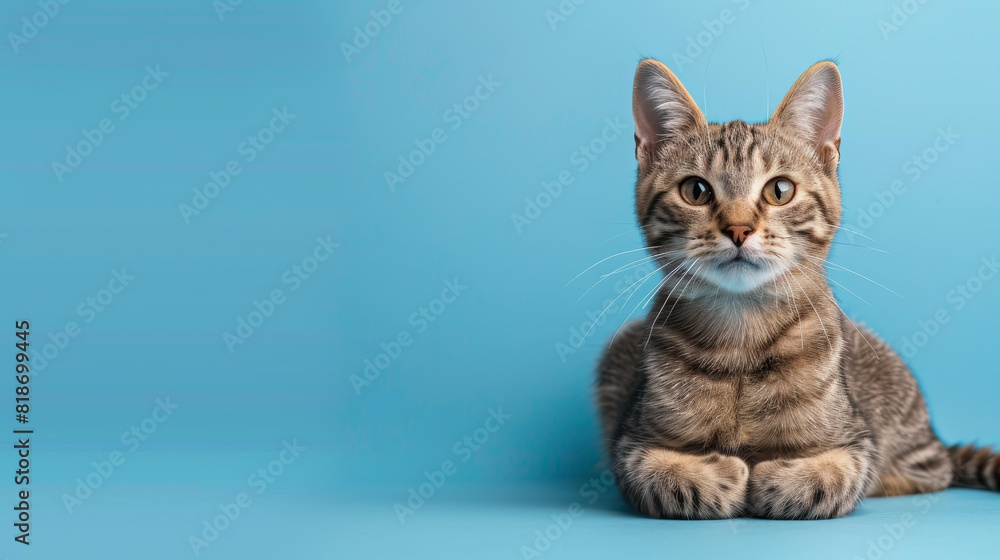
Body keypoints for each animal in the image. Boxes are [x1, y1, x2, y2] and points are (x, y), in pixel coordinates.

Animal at [596, 58, 996, 520]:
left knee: (934, 472)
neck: (741, 335)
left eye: (779, 190)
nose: (738, 228)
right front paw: (720, 473)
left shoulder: (857, 440)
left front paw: (776, 478)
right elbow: (659, 473)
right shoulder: (630, 440)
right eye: (695, 191)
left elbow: (836, 473)